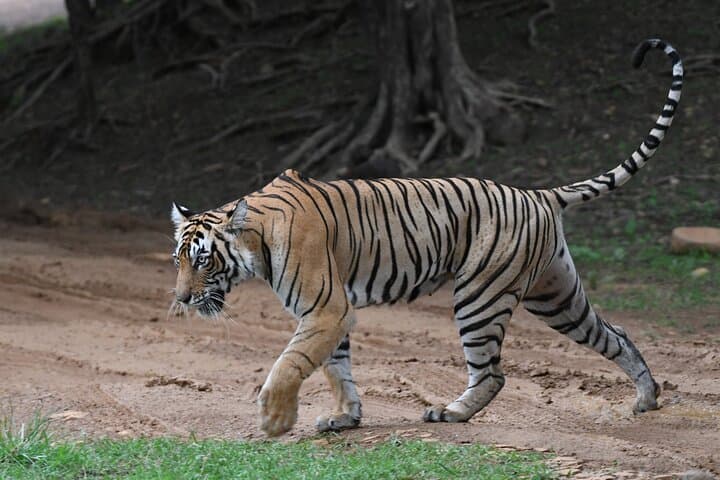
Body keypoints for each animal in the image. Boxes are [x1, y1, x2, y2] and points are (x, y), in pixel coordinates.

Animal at [170, 39, 682, 437]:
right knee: (616, 334)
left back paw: (451, 412)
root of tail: (537, 193)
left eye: (202, 260)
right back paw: (646, 397)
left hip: (480, 296)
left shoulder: (325, 307)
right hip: (555, 295)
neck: (256, 242)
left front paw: (275, 421)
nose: (181, 299)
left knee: (493, 373)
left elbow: (290, 363)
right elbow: (337, 368)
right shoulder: (330, 313)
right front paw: (345, 418)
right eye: (178, 259)